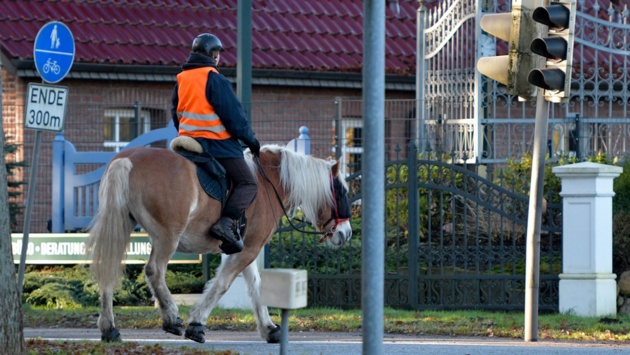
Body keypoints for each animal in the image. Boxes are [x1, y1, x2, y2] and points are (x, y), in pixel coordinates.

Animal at [85, 144, 356, 344]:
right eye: (342, 192)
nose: (346, 234)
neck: (268, 184)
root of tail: (127, 159)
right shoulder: (248, 249)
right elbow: (222, 284)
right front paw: (196, 324)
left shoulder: (246, 248)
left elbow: (256, 286)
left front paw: (269, 329)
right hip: (167, 236)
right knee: (154, 272)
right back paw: (171, 317)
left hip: (120, 226)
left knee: (108, 271)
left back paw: (109, 328)